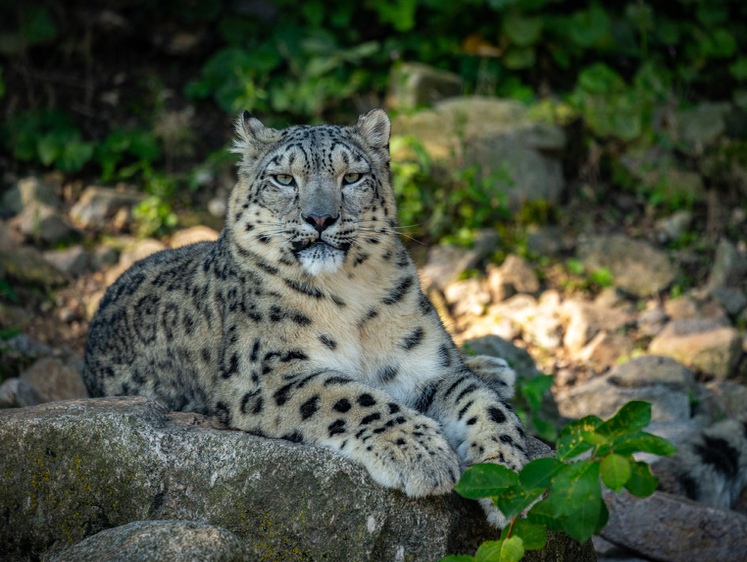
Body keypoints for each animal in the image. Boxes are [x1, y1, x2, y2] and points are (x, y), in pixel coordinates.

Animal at [83, 108, 532, 524]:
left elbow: (482, 403)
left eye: (352, 177)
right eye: (284, 179)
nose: (319, 218)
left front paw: (511, 482)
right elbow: (349, 396)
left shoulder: (425, 365)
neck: (350, 295)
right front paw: (423, 455)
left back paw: (494, 369)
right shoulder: (264, 373)